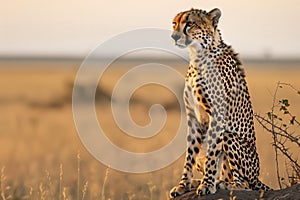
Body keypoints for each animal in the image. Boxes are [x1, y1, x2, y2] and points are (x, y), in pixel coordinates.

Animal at [170, 7, 270, 197]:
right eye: (174, 23)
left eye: (190, 23)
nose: (174, 37)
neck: (198, 55)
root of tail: (257, 176)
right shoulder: (193, 117)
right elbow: (190, 154)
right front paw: (183, 185)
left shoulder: (217, 114)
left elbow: (212, 152)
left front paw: (207, 185)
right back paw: (202, 181)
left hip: (230, 137)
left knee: (246, 183)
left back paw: (224, 184)